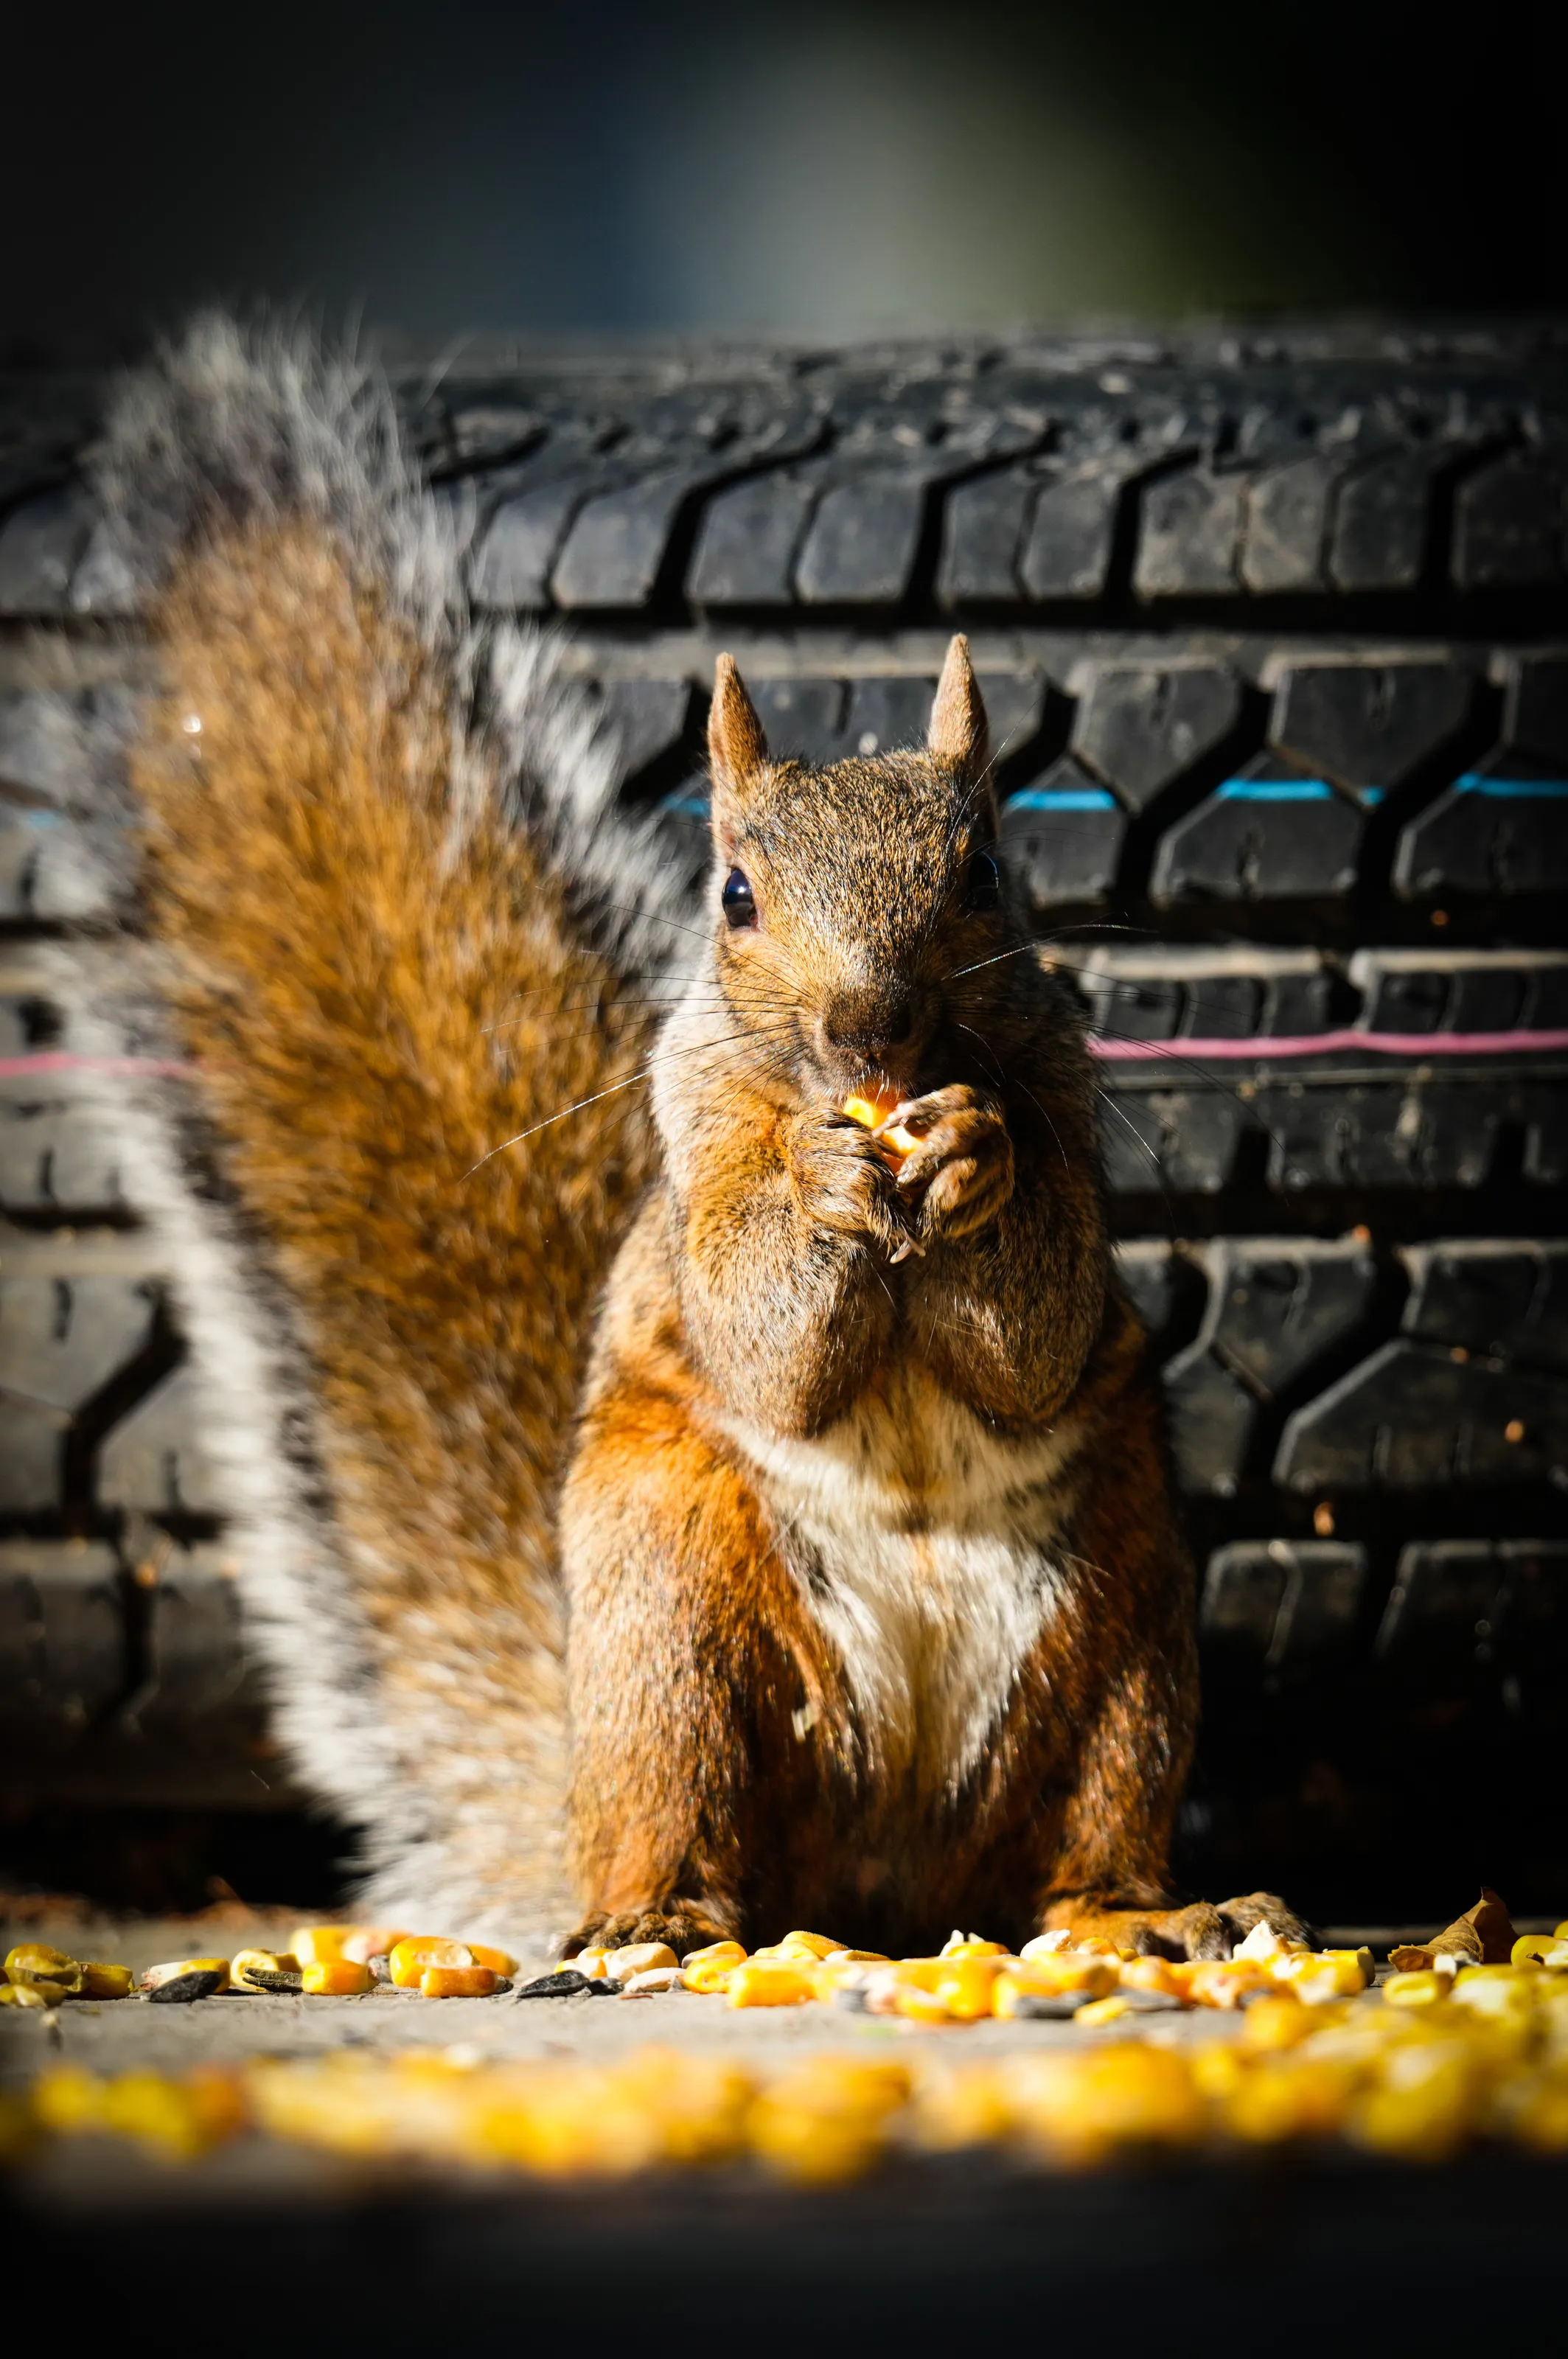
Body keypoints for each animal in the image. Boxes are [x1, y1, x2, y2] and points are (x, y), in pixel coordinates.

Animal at [80, 318, 1304, 1960]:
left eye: (987, 872)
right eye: (732, 893)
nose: (868, 1026)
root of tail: (882, 1881)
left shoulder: (1061, 1094)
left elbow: (1035, 1334)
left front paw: (972, 1164)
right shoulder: (696, 1144)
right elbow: (759, 1327)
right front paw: (821, 1186)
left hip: (1121, 1622)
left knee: (1077, 1837)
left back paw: (1144, 1917)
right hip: (672, 1623)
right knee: (682, 1810)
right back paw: (656, 1920)